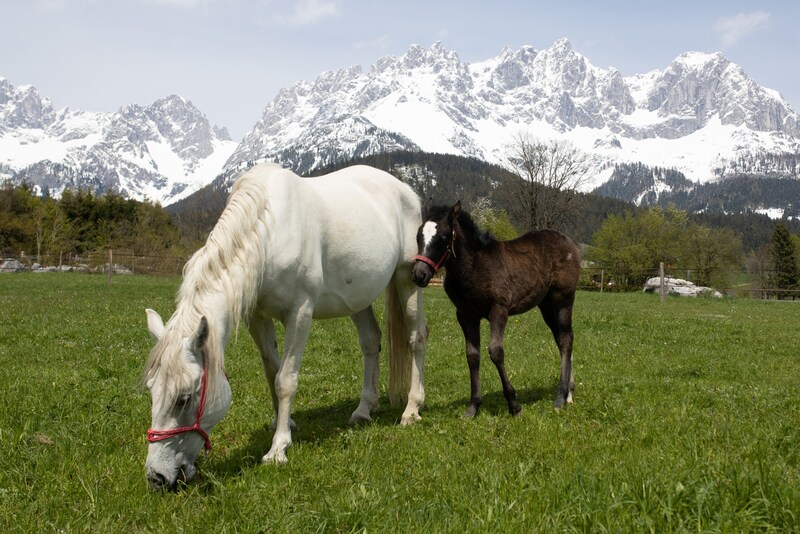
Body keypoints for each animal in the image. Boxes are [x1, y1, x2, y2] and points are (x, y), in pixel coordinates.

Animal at [146, 165, 428, 492]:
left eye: (184, 398)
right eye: (152, 391)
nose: (157, 477)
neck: (268, 230)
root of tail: (406, 191)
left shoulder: (299, 313)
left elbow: (286, 379)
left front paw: (278, 448)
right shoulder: (256, 317)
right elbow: (272, 371)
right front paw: (284, 423)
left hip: (408, 280)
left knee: (416, 338)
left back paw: (412, 409)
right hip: (358, 298)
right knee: (371, 341)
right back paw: (363, 410)